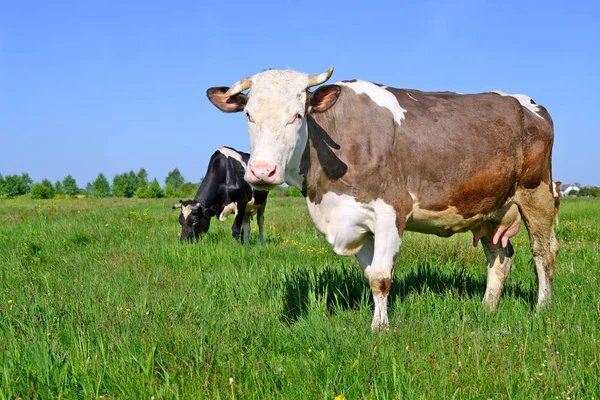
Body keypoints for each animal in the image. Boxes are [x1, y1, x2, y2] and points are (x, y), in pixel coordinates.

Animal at [209, 68, 560, 332]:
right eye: (249, 115)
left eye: (297, 115)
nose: (262, 171)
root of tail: (531, 105)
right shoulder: (356, 220)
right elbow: (369, 276)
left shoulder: (391, 212)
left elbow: (380, 277)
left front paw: (380, 329)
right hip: (490, 208)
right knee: (500, 257)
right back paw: (487, 308)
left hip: (536, 192)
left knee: (543, 252)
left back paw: (542, 308)